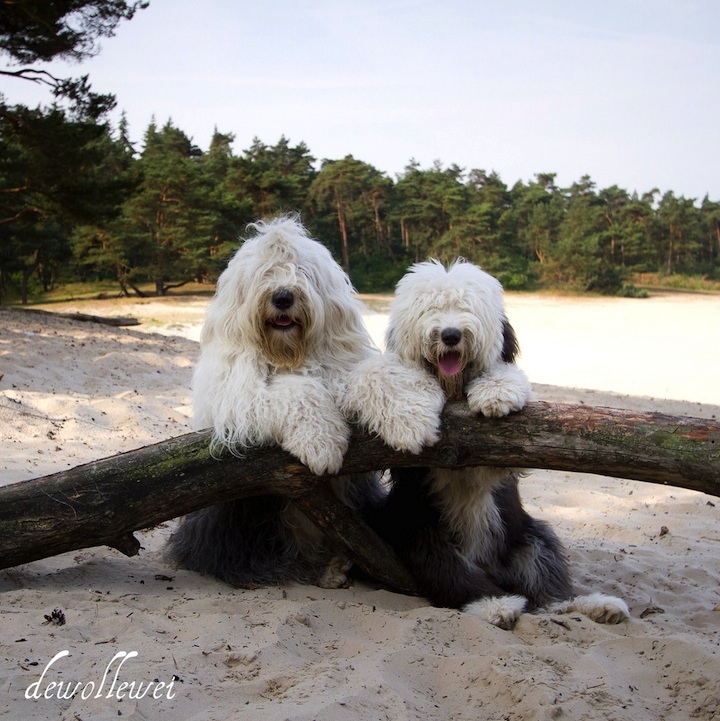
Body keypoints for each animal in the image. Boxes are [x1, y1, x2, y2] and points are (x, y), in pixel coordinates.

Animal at [166, 217, 400, 588]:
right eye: (264, 273)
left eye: (301, 270)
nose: (283, 296)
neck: (290, 355)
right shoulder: (236, 397)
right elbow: (295, 393)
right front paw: (322, 445)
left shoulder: (340, 367)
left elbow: (372, 375)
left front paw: (409, 420)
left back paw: (336, 566)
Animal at [362, 262, 628, 628]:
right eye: (430, 309)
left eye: (468, 307)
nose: (450, 335)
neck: (454, 392)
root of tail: (492, 569)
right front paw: (409, 421)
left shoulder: (506, 455)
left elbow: (508, 383)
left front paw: (497, 393)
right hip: (423, 532)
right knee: (453, 573)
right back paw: (495, 604)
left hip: (531, 537)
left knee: (550, 591)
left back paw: (594, 605)